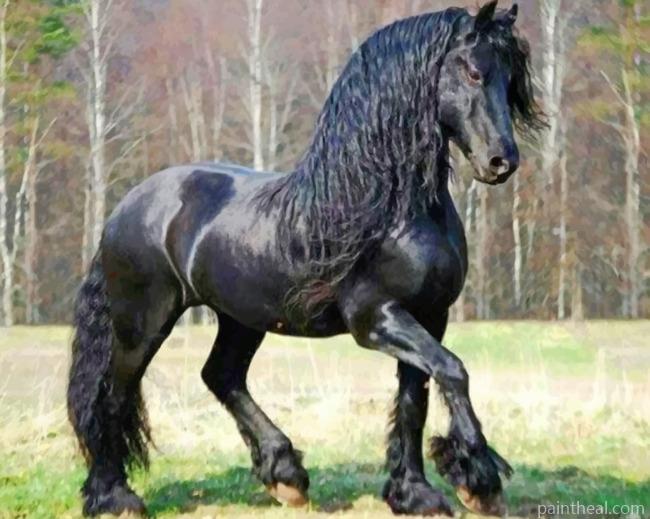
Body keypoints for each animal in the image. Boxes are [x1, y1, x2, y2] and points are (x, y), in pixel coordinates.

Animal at [67, 1, 543, 516]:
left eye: (511, 80)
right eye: (474, 71)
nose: (502, 161)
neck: (387, 208)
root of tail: (127, 206)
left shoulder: (430, 317)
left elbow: (415, 399)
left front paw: (415, 492)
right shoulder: (376, 318)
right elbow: (454, 372)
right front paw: (479, 480)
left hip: (241, 318)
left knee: (222, 376)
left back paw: (285, 475)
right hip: (143, 323)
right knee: (112, 398)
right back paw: (114, 496)